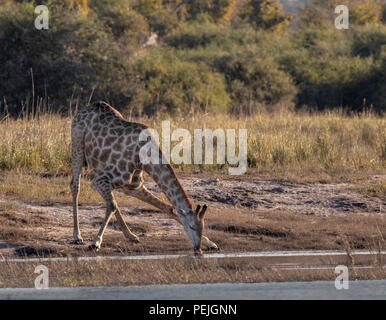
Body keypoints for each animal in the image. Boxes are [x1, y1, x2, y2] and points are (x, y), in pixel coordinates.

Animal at [70, 101, 219, 256]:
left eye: (202, 227)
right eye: (191, 226)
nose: (198, 250)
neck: (143, 158)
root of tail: (85, 108)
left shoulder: (134, 187)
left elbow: (168, 208)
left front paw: (210, 243)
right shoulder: (99, 180)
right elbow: (111, 205)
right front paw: (96, 242)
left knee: (113, 200)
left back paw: (131, 235)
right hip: (77, 146)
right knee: (75, 186)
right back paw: (77, 236)